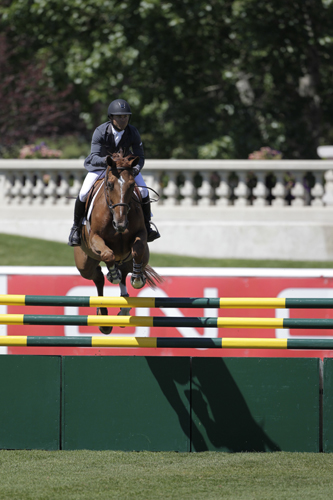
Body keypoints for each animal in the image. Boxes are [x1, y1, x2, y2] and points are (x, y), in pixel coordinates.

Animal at [72, 150, 162, 334]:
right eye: (110, 185)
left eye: (131, 185)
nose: (120, 224)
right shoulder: (95, 239)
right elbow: (108, 255)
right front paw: (112, 275)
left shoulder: (141, 235)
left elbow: (137, 249)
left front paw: (137, 279)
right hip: (84, 265)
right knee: (98, 276)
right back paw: (103, 316)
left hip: (138, 259)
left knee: (125, 271)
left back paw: (124, 307)